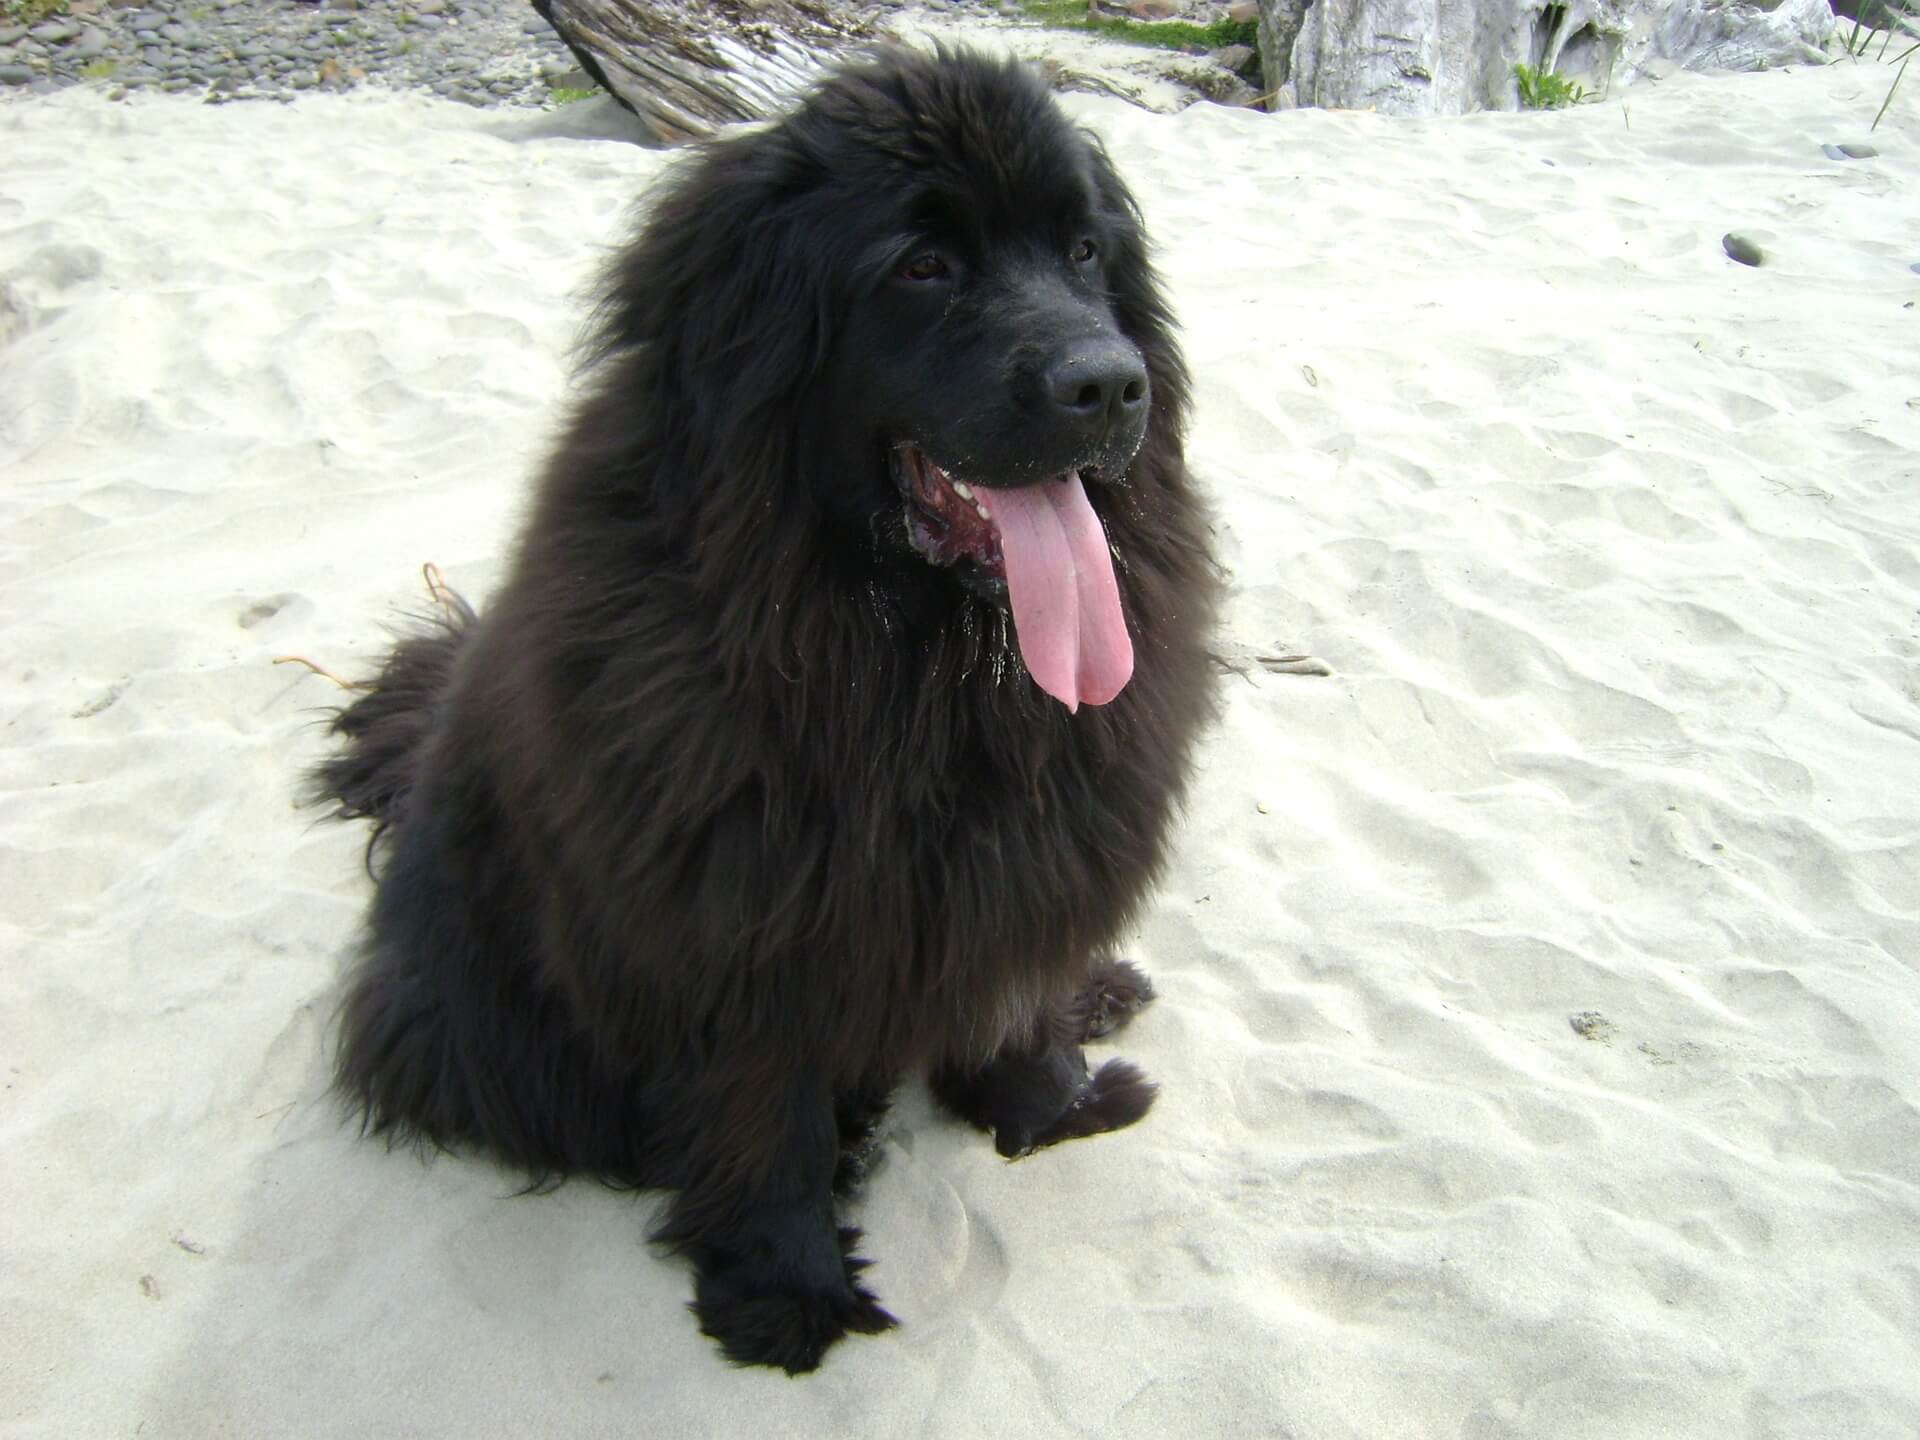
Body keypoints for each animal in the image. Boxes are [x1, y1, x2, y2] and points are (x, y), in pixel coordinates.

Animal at [312, 45, 1213, 1374]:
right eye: (923, 266)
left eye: (1088, 251)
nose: (1108, 384)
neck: (912, 668)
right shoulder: (738, 933)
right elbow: (762, 1114)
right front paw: (787, 1291)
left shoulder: (1022, 853)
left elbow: (1010, 997)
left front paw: (1053, 1106)